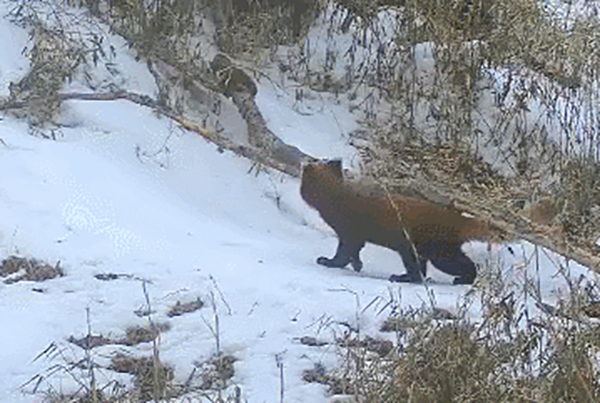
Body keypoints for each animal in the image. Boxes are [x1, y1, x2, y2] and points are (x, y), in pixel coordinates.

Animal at [300, 159, 496, 286]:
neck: (338, 199)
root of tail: (458, 218)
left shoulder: (349, 231)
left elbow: (344, 253)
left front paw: (327, 261)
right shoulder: (356, 237)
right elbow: (354, 252)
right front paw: (357, 265)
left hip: (435, 252)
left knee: (454, 267)